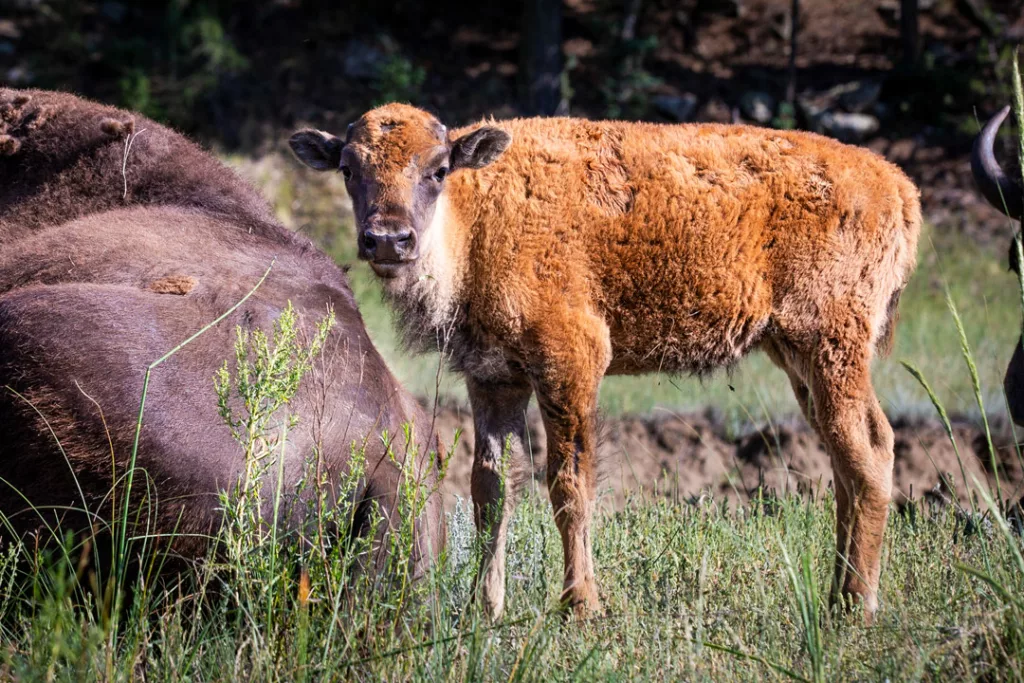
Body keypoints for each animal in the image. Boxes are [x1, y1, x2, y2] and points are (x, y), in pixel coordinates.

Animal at [290, 104, 921, 622]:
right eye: (348, 169)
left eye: (438, 169)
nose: (387, 240)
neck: (476, 219)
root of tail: (897, 185)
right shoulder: (495, 379)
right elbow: (491, 488)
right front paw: (482, 608)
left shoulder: (571, 361)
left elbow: (568, 483)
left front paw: (581, 605)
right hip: (800, 360)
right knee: (851, 457)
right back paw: (839, 592)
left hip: (829, 347)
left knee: (867, 453)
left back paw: (856, 604)